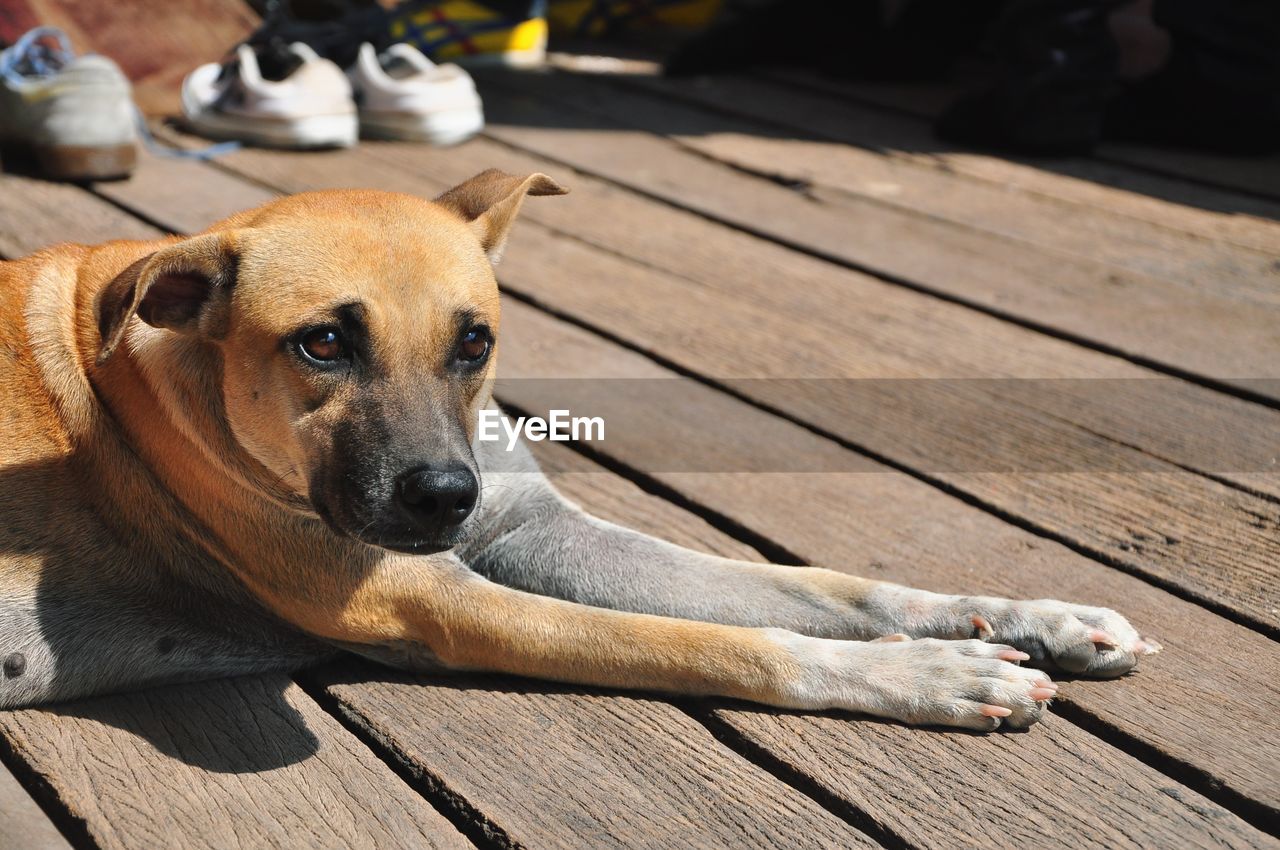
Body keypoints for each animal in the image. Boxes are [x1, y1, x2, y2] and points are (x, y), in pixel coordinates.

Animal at [0, 168, 1162, 727]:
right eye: (321, 343)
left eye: (475, 341)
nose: (444, 498)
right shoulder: (429, 600)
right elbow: (732, 643)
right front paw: (928, 674)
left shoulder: (535, 533)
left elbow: (826, 587)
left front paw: (1029, 614)